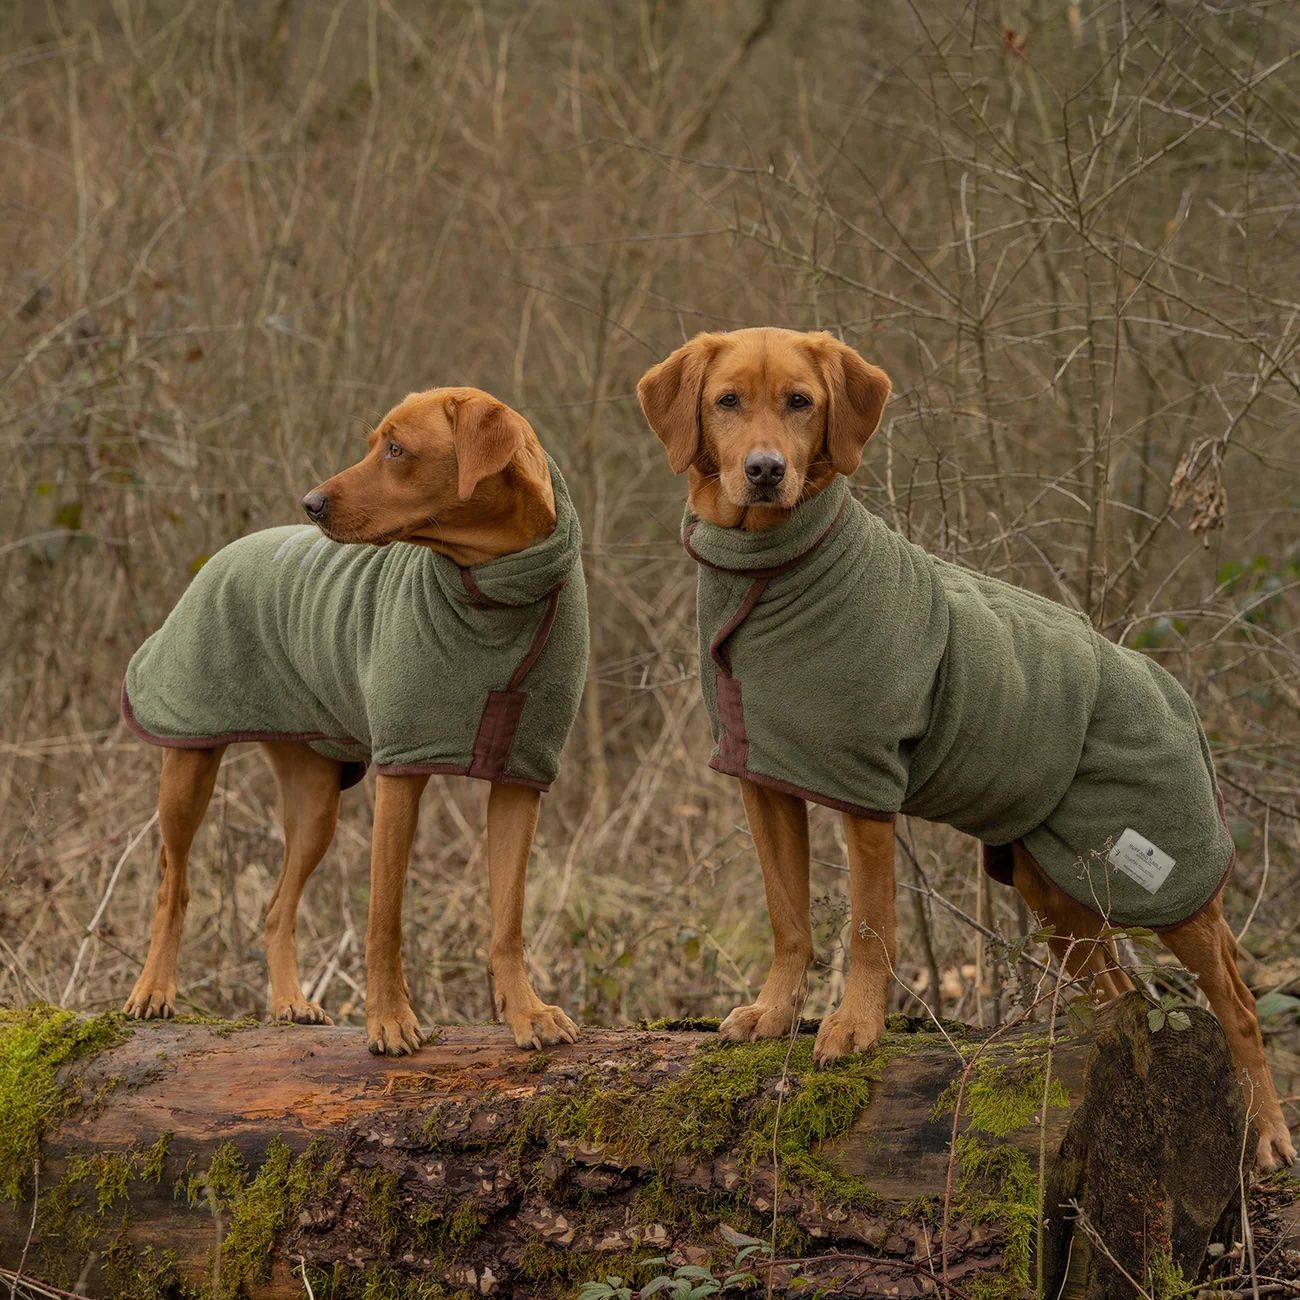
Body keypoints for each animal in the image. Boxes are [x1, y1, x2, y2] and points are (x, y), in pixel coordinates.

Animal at [122, 384, 590, 1055]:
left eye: (396, 449)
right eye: (376, 443)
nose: (311, 503)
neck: (498, 588)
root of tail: (223, 553)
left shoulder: (520, 777)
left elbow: (509, 918)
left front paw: (526, 1012)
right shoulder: (401, 771)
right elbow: (384, 918)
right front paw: (389, 1019)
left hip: (317, 798)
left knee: (276, 907)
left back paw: (289, 1003)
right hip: (187, 761)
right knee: (172, 882)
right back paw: (154, 990)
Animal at [642, 322, 1300, 1170]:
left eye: (800, 402)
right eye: (727, 402)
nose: (764, 471)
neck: (774, 571)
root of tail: (1175, 695)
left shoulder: (866, 791)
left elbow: (868, 926)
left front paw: (854, 1026)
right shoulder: (765, 781)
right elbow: (789, 920)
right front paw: (773, 1012)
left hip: (1168, 881)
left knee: (1242, 1006)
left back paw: (1269, 1135)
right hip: (1057, 886)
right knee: (1119, 989)